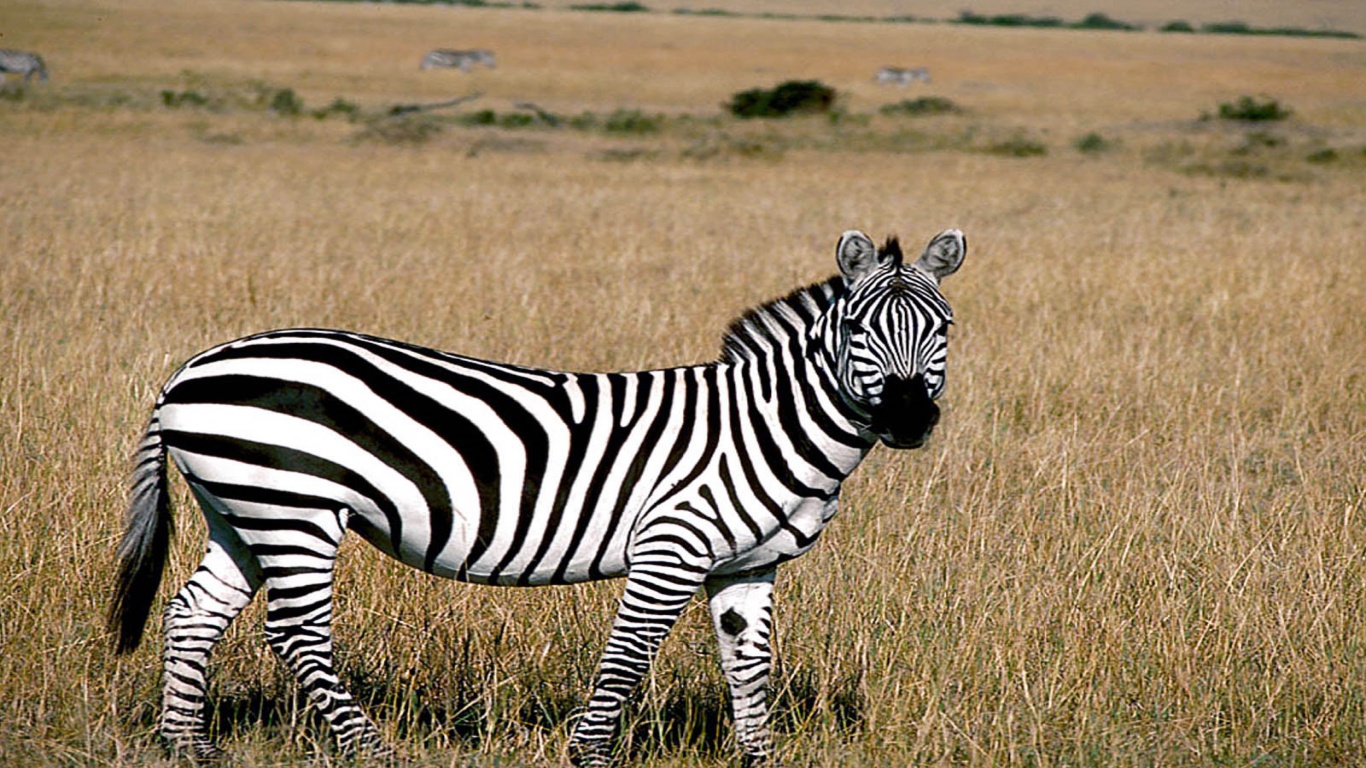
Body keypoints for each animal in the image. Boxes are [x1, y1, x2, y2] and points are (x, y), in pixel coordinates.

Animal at [108, 228, 966, 766]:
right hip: (293, 510)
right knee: (296, 634)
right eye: (858, 328)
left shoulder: (746, 565)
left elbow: (747, 664)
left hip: (244, 511)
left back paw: (188, 746)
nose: (909, 418)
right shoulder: (672, 545)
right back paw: (375, 750)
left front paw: (759, 757)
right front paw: (590, 754)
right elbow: (628, 656)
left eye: (944, 328)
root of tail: (190, 369)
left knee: (193, 613)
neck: (762, 424)